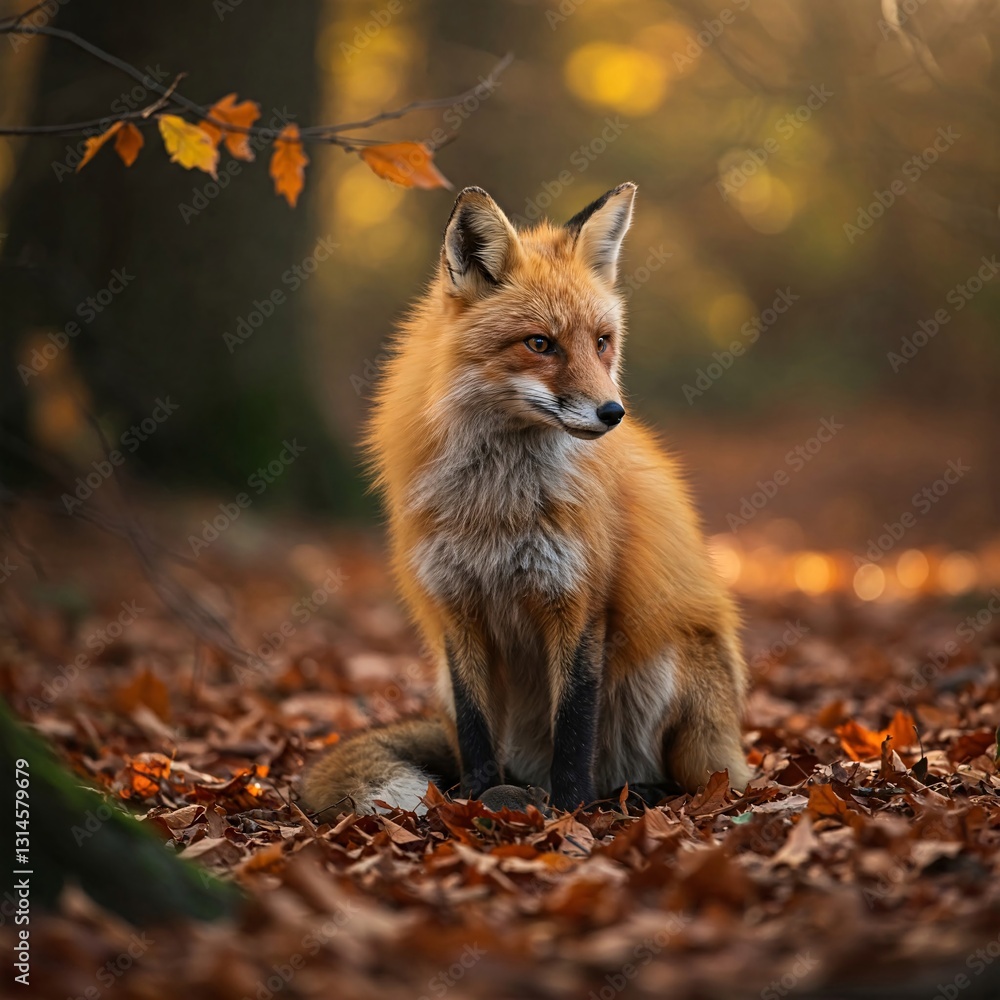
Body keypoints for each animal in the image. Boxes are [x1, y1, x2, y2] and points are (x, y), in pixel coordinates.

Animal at [300, 182, 751, 819]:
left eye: (602, 342)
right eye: (540, 344)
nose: (613, 413)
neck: (497, 504)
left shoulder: (579, 602)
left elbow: (575, 725)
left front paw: (569, 810)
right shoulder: (454, 606)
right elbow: (474, 729)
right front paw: (476, 799)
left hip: (673, 666)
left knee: (689, 775)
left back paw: (632, 794)